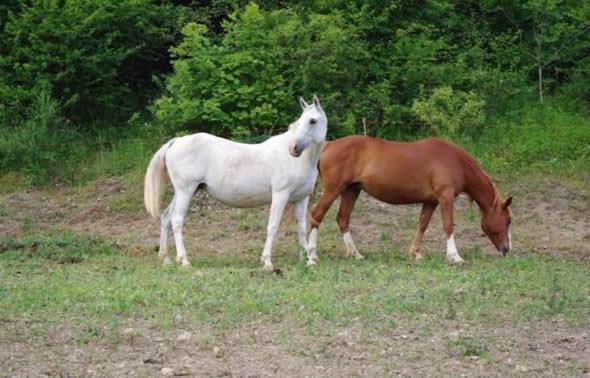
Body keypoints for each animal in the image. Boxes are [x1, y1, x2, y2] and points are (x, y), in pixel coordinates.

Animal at [143, 96, 328, 270]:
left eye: (312, 121)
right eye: (300, 121)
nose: (293, 149)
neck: (299, 161)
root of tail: (175, 142)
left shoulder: (301, 199)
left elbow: (302, 228)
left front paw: (308, 260)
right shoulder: (280, 195)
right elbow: (273, 226)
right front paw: (267, 262)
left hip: (184, 192)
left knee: (166, 217)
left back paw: (166, 259)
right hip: (185, 191)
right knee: (177, 220)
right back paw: (184, 261)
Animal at [308, 137, 516, 266]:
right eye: (507, 220)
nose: (507, 249)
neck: (454, 161)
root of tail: (329, 144)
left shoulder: (431, 202)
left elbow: (422, 224)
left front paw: (416, 253)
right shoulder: (445, 196)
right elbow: (448, 225)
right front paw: (454, 256)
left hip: (352, 190)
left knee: (342, 218)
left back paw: (355, 254)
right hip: (333, 190)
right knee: (316, 215)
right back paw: (312, 256)